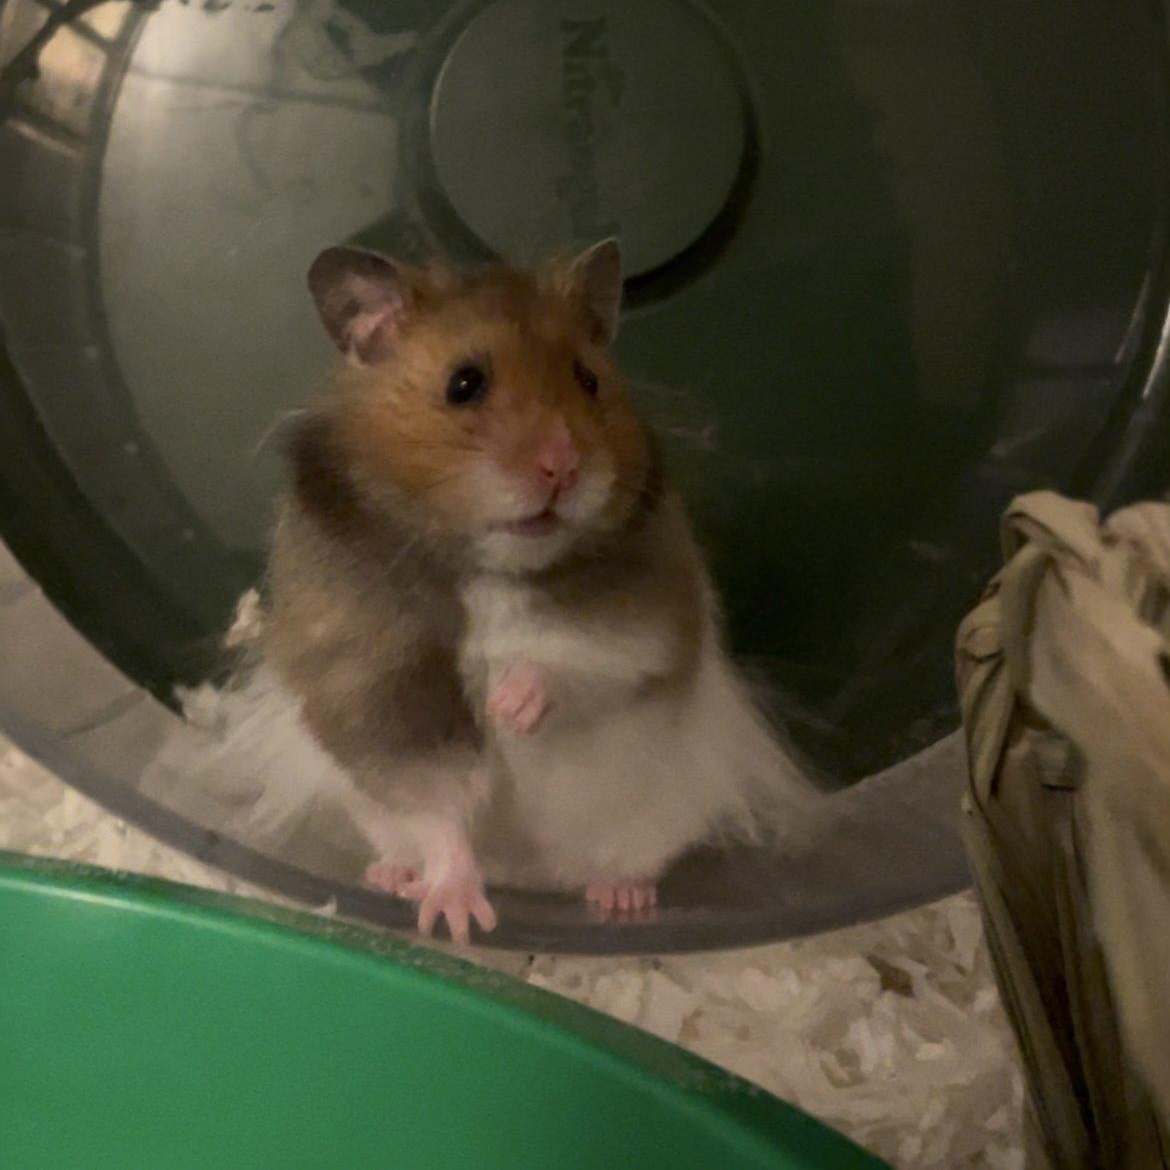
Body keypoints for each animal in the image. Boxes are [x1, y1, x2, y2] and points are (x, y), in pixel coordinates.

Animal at [261, 239, 816, 942]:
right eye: (464, 384)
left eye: (588, 379)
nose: (563, 467)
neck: (490, 568)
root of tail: (532, 882)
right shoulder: (380, 690)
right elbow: (436, 805)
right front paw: (456, 918)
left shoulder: (645, 625)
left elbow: (574, 662)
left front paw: (508, 708)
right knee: (408, 839)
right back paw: (394, 878)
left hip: (665, 814)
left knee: (633, 860)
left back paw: (621, 899)